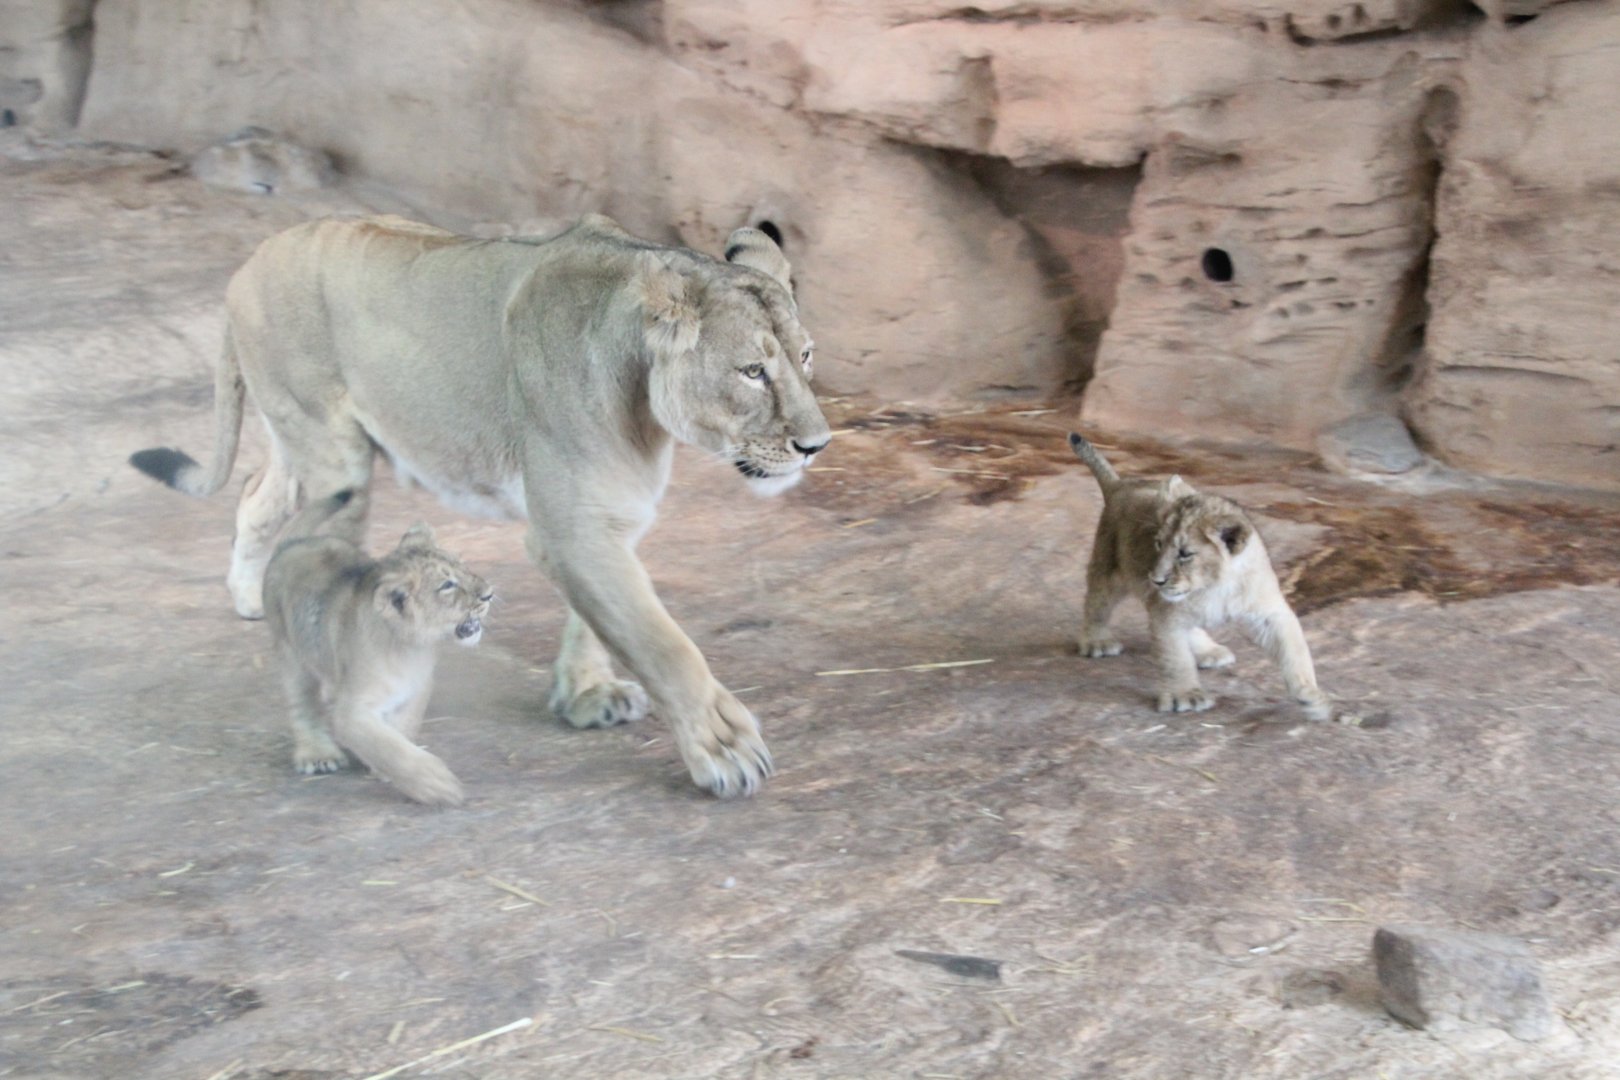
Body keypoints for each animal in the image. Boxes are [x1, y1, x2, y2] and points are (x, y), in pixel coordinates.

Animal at [262, 491, 492, 806]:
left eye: (463, 565)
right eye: (447, 585)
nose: (490, 593)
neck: (409, 647)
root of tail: (294, 543)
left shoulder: (417, 689)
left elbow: (401, 728)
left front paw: (384, 768)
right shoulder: (352, 712)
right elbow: (387, 746)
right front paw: (433, 781)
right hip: (292, 653)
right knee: (303, 705)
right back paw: (317, 754)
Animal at [1069, 433, 1346, 722]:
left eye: (1184, 553)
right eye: (1158, 544)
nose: (1156, 580)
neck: (1215, 587)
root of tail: (1119, 485)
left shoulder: (1270, 612)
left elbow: (1295, 650)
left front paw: (1312, 696)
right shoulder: (1165, 615)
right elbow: (1176, 658)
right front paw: (1184, 695)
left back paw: (1208, 651)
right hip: (1109, 570)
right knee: (1097, 604)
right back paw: (1097, 641)